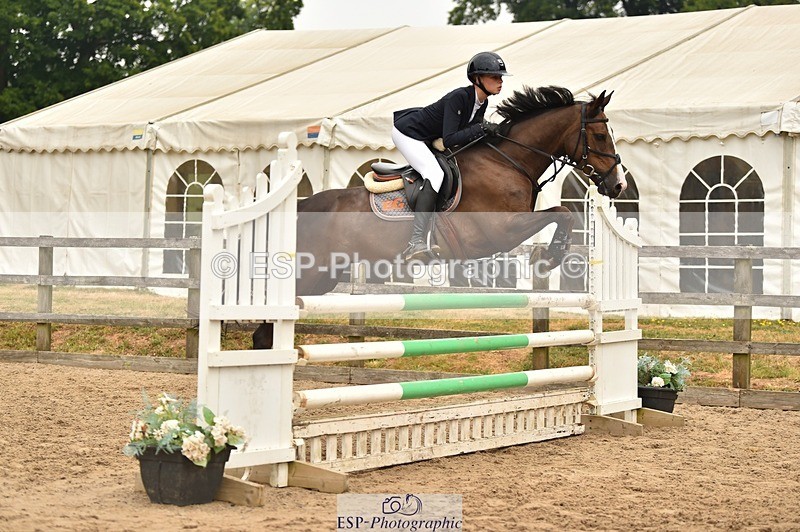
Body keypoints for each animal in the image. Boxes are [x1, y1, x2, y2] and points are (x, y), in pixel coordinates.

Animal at [253, 85, 625, 348]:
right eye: (600, 135)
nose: (618, 185)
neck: (507, 160)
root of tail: (301, 208)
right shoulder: (500, 230)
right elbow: (563, 213)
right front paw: (548, 257)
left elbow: (561, 215)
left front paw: (549, 255)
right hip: (307, 273)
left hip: (323, 277)